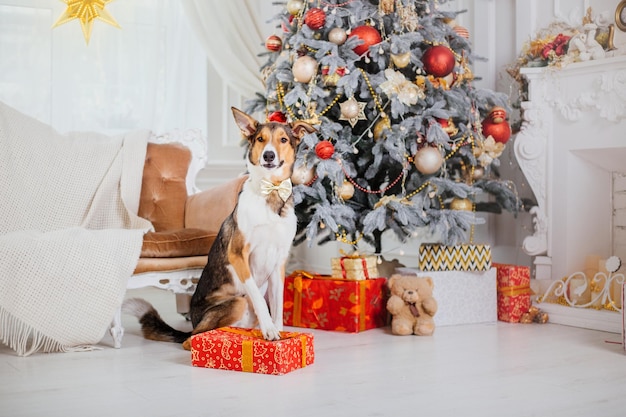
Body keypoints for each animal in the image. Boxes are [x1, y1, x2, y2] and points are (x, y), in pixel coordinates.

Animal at [123, 106, 314, 342]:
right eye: (260, 139)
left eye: (284, 139)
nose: (268, 155)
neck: (270, 192)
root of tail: (192, 325)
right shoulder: (238, 254)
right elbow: (260, 299)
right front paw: (269, 330)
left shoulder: (279, 260)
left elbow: (277, 306)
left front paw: (280, 332)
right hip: (236, 302)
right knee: (195, 337)